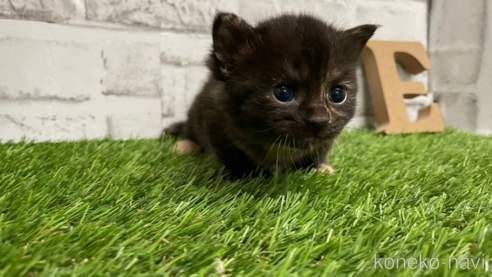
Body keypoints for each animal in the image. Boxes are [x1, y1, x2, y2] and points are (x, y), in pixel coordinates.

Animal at [165, 11, 376, 178]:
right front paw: (247, 176)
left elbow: (318, 152)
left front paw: (319, 167)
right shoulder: (216, 122)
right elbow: (235, 158)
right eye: (283, 93)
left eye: (338, 95)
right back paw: (185, 145)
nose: (319, 120)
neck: (280, 147)